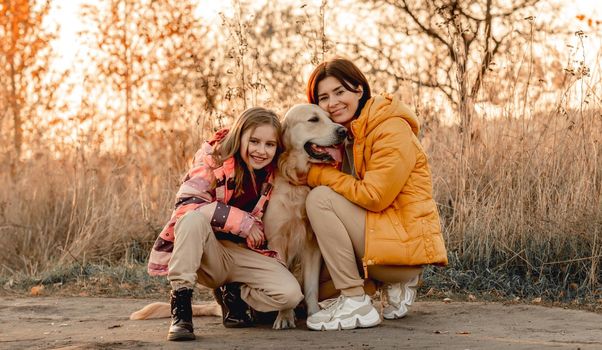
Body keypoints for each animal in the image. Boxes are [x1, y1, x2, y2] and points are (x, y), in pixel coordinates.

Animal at [264, 103, 344, 328]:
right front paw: (284, 316)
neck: (296, 183)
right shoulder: (276, 240)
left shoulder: (312, 243)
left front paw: (314, 313)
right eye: (313, 120)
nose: (343, 131)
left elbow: (311, 287)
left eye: (330, 117)